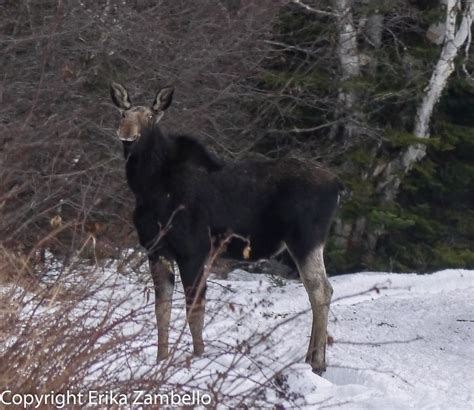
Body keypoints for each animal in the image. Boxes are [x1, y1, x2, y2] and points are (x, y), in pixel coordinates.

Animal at [110, 82, 340, 374]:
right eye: (123, 114)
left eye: (150, 117)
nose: (127, 134)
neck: (148, 188)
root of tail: (339, 185)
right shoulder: (156, 250)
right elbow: (161, 309)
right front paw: (161, 360)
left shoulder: (194, 250)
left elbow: (194, 308)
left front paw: (198, 357)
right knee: (318, 290)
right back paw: (311, 358)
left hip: (306, 239)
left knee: (321, 289)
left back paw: (317, 362)